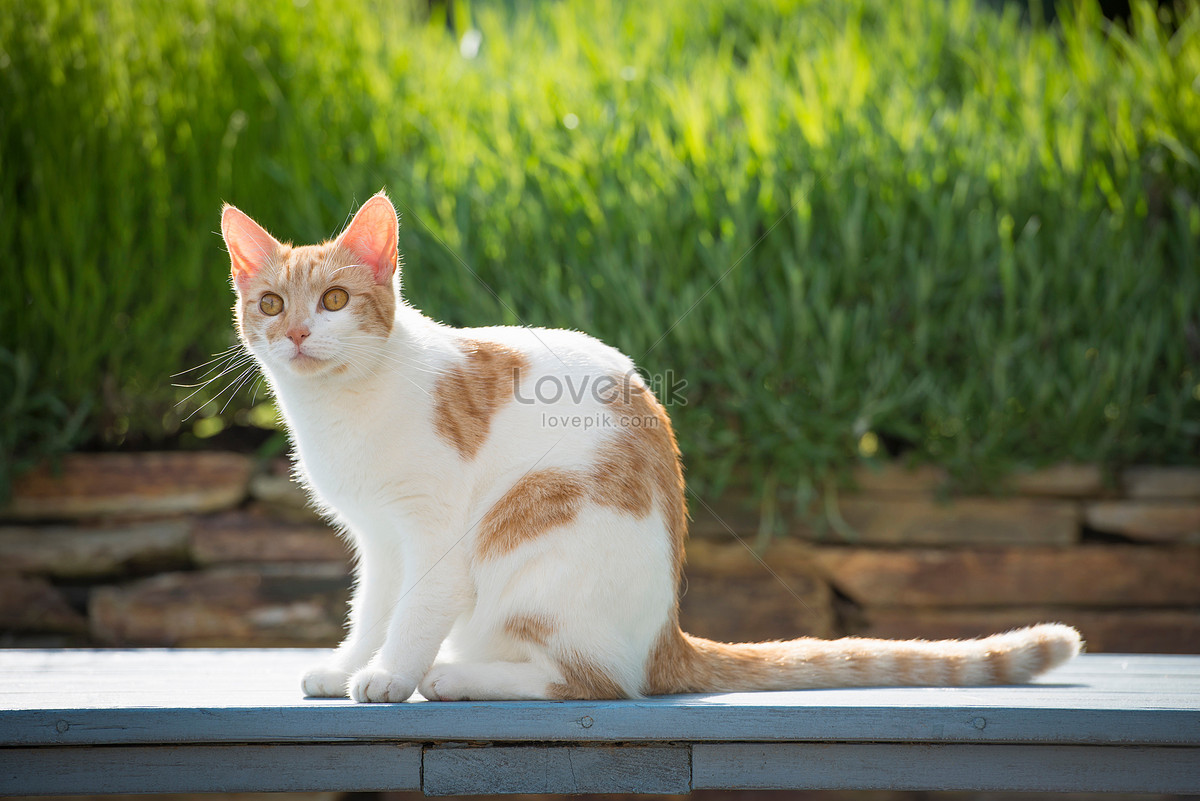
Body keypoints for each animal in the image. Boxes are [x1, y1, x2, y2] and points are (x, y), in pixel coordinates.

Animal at [220, 191, 1084, 700]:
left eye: (336, 299)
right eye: (272, 303)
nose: (296, 335)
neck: (341, 406)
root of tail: (668, 638)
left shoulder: (431, 533)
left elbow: (410, 615)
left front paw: (388, 675)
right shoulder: (378, 539)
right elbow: (370, 610)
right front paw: (346, 667)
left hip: (533, 530)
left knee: (589, 680)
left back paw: (455, 675)